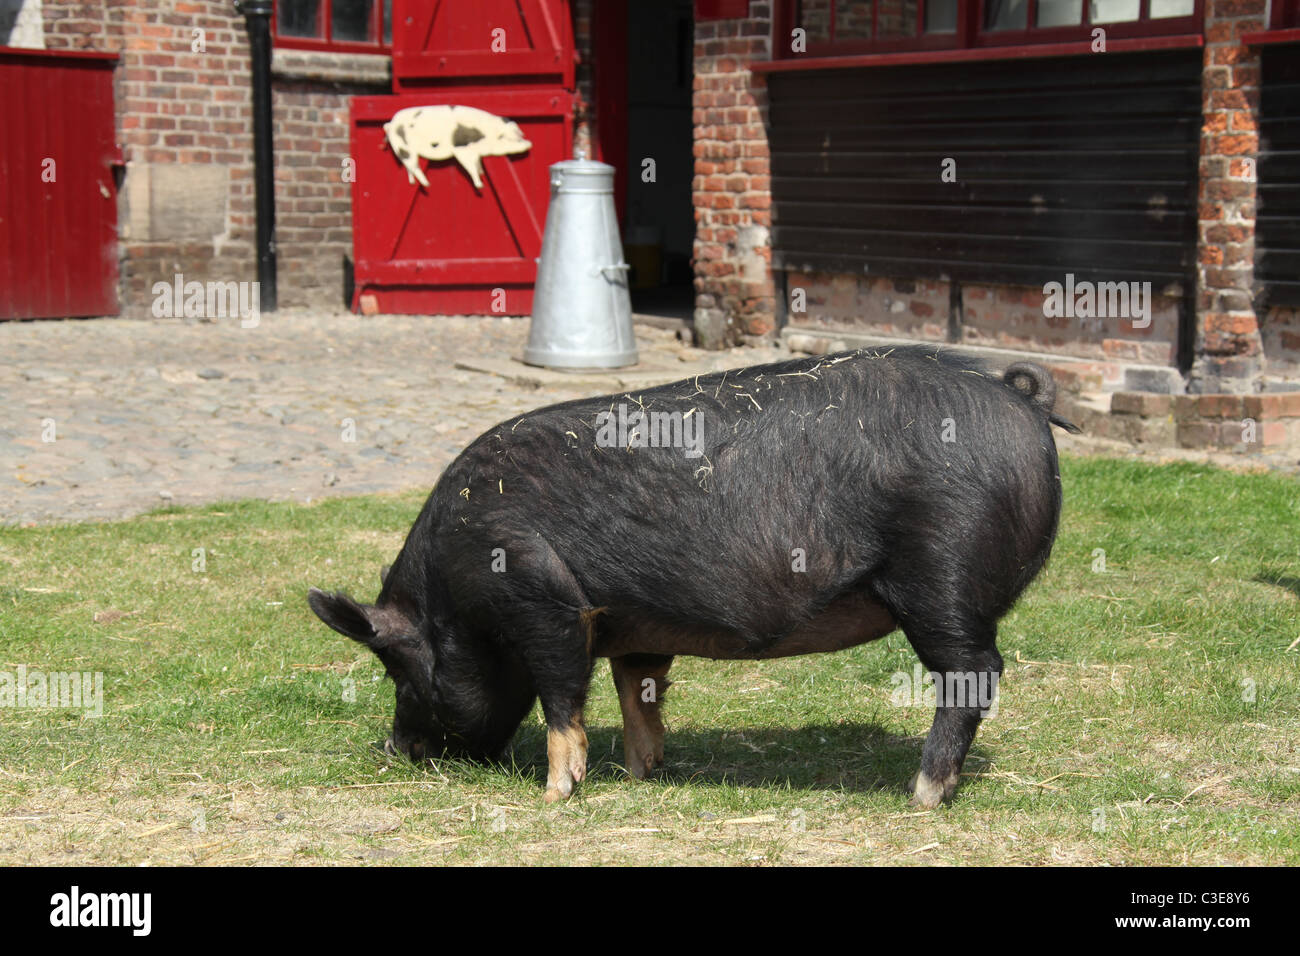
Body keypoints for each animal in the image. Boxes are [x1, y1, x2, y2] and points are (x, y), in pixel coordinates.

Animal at [308, 346, 1080, 807]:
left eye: (397, 669)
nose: (394, 748)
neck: (453, 588)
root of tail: (1022, 401)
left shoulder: (546, 601)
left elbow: (562, 697)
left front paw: (556, 795)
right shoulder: (632, 623)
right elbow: (637, 690)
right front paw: (642, 771)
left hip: (943, 578)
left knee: (975, 673)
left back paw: (921, 795)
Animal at [381, 105, 532, 190]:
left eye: (519, 133)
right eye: (510, 139)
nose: (529, 143)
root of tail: (390, 124)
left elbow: (477, 162)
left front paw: (482, 173)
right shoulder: (461, 148)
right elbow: (470, 165)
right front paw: (480, 185)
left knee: (409, 168)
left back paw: (414, 182)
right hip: (404, 147)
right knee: (413, 164)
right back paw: (427, 184)